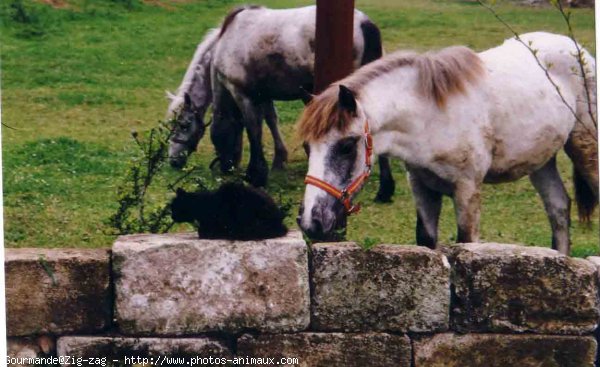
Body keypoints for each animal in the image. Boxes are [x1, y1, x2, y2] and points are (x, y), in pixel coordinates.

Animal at [166, 3, 396, 201]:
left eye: (183, 125)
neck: (225, 42)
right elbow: (270, 120)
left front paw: (255, 174)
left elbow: (254, 130)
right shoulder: (263, 95)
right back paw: (385, 188)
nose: (173, 161)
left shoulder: (243, 94)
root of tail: (364, 23)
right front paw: (279, 159)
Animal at [298, 32, 596, 256]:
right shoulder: (422, 187)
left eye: (347, 145)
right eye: (307, 147)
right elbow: (427, 241)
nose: (311, 222)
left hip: (587, 150)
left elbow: (466, 245)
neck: (431, 117)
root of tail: (578, 49)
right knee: (558, 208)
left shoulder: (467, 191)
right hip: (541, 161)